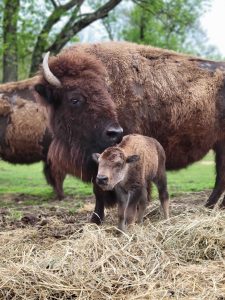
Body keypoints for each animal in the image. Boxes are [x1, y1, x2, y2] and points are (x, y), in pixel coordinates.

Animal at [34, 42, 225, 225]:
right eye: (74, 99)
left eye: (107, 93)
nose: (115, 132)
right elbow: (99, 189)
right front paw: (96, 220)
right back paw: (212, 207)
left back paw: (209, 207)